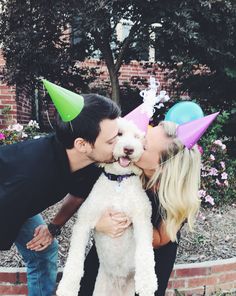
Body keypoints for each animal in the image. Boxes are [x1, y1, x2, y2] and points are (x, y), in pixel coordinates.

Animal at [56, 118, 158, 296]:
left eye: (137, 137)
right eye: (119, 134)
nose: (129, 149)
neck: (119, 180)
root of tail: (119, 281)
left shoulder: (142, 219)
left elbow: (145, 253)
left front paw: (147, 282)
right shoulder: (84, 221)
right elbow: (75, 258)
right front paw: (67, 287)